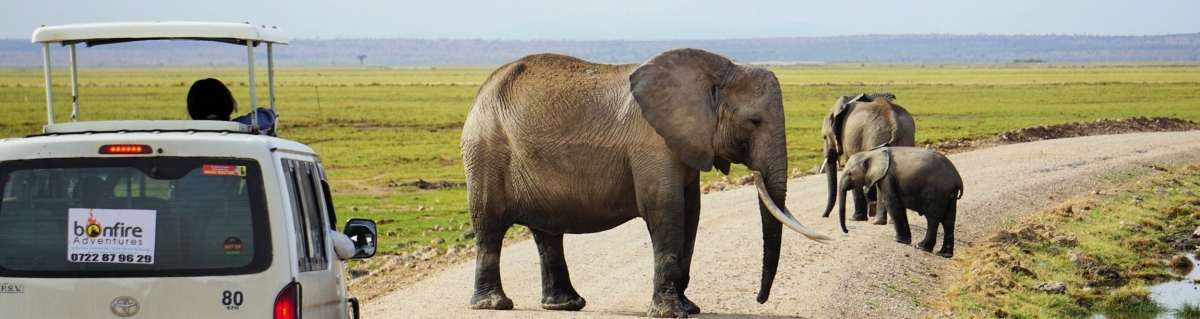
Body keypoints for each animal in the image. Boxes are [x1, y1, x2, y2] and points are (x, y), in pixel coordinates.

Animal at [460, 47, 835, 316]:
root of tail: (483, 89)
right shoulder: (652, 144)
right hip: (486, 151)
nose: (759, 299)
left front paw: (690, 308)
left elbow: (691, 213)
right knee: (490, 226)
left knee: (547, 234)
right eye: (754, 121)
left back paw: (566, 305)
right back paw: (494, 305)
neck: (719, 69)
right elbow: (665, 208)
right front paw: (672, 313)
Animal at [820, 93, 912, 224]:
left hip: (877, 135)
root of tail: (895, 124)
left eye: (824, 137)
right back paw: (892, 220)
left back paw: (878, 220)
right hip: (906, 136)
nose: (824, 216)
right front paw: (870, 210)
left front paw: (856, 218)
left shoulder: (848, 141)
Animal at [835, 145, 964, 257]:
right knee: (948, 221)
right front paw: (906, 240)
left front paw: (899, 240)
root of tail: (958, 180)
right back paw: (944, 254)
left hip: (937, 192)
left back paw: (921, 247)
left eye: (848, 173)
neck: (871, 153)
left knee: (933, 219)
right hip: (949, 195)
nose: (847, 231)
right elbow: (900, 205)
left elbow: (890, 201)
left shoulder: (886, 177)